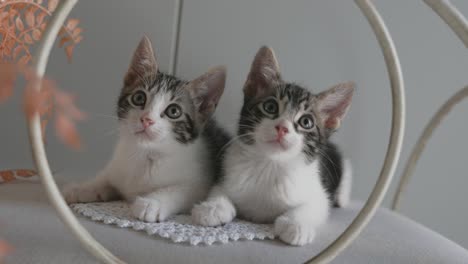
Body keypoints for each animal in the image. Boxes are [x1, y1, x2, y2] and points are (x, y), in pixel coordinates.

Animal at [63, 35, 229, 223]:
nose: (147, 120)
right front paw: (81, 187)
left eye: (173, 111)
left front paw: (152, 203)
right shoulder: (116, 168)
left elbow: (180, 190)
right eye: (139, 98)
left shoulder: (199, 182)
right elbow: (104, 178)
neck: (144, 153)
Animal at [192, 47, 352, 245]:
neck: (270, 164)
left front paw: (295, 224)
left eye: (306, 122)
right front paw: (213, 208)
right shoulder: (227, 173)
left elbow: (313, 205)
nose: (282, 128)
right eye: (270, 106)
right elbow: (218, 190)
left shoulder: (318, 193)